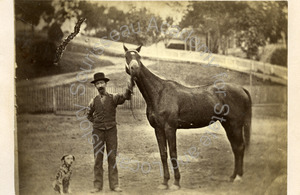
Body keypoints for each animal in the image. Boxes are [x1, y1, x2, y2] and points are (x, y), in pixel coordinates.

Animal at [123, 45, 252, 190]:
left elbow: (173, 153)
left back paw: (238, 177)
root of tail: (241, 89)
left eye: (139, 56)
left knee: (240, 147)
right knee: (236, 148)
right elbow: (163, 154)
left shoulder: (170, 128)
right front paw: (164, 182)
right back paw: (233, 176)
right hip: (228, 125)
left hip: (235, 125)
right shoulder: (158, 129)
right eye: (126, 56)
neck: (159, 93)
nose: (134, 68)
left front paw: (176, 183)